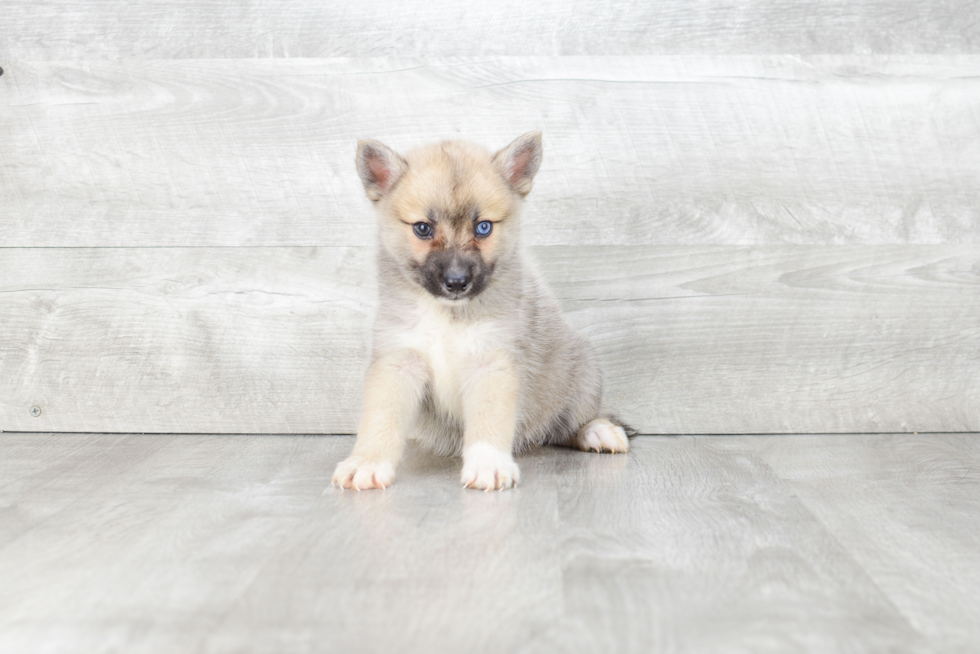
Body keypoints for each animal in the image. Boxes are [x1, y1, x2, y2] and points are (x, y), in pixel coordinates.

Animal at [334, 133, 632, 492]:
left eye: (484, 228)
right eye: (423, 229)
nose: (456, 282)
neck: (447, 315)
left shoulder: (491, 363)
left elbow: (489, 419)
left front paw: (488, 463)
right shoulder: (398, 363)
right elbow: (381, 418)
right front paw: (367, 462)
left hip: (582, 376)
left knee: (569, 424)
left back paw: (597, 431)